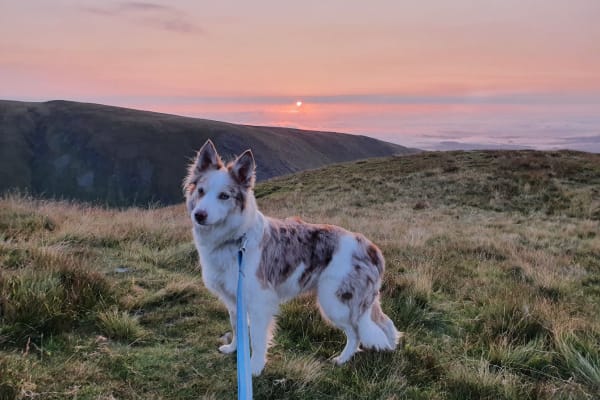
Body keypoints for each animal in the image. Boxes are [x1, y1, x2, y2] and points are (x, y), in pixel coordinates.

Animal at [183, 140, 398, 376]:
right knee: (382, 325)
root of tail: (370, 247)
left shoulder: (259, 303)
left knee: (355, 333)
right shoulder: (234, 300)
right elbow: (237, 327)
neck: (235, 239)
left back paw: (342, 359)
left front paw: (253, 368)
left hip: (335, 302)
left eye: (224, 196)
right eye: (201, 191)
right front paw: (233, 349)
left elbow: (256, 339)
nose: (199, 215)